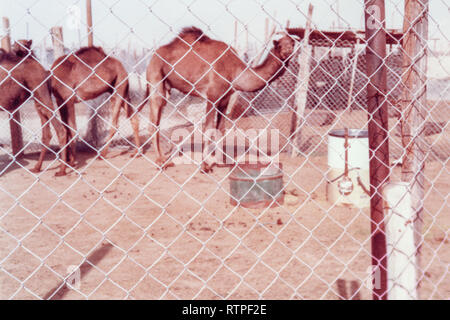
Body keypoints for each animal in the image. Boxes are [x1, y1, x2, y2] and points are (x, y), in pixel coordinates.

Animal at [0, 40, 68, 175]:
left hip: (41, 92)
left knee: (60, 130)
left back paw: (62, 170)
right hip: (38, 101)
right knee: (47, 134)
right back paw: (37, 167)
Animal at [50, 45, 139, 175]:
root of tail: (121, 66)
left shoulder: (69, 99)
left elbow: (72, 129)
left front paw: (70, 164)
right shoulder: (59, 101)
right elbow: (66, 128)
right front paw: (68, 162)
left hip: (119, 88)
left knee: (115, 124)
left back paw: (102, 155)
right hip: (118, 91)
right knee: (133, 117)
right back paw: (137, 152)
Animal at [146, 26, 298, 172]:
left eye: (292, 43)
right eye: (280, 45)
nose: (288, 51)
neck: (235, 71)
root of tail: (153, 56)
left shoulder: (225, 99)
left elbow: (220, 129)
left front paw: (220, 161)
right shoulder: (212, 96)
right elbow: (208, 128)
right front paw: (204, 165)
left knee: (157, 121)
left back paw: (164, 159)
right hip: (156, 77)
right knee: (153, 122)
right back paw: (160, 162)